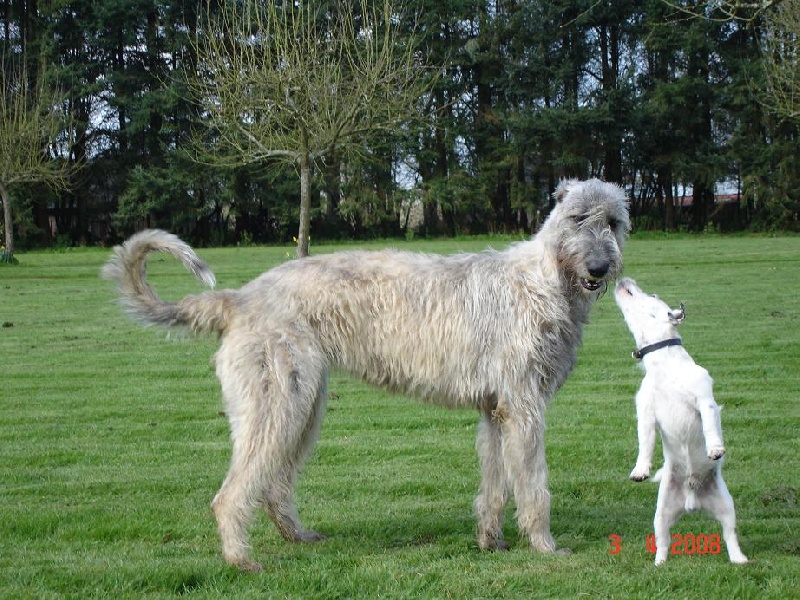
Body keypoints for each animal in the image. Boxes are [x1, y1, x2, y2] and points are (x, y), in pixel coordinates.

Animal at [103, 178, 628, 572]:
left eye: (614, 222)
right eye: (576, 218)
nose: (599, 268)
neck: (545, 281)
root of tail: (239, 298)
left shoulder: (496, 410)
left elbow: (495, 482)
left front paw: (491, 539)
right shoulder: (524, 406)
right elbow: (534, 483)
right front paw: (545, 546)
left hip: (303, 406)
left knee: (273, 485)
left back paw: (297, 535)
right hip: (277, 403)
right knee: (231, 493)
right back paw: (240, 559)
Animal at [616, 278, 748, 564]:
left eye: (653, 294)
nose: (625, 279)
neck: (662, 364)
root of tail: (691, 501)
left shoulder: (703, 400)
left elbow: (709, 425)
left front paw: (715, 449)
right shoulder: (646, 413)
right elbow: (645, 443)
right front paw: (640, 470)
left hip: (727, 507)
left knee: (729, 534)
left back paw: (739, 559)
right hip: (662, 512)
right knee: (663, 539)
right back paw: (659, 562)